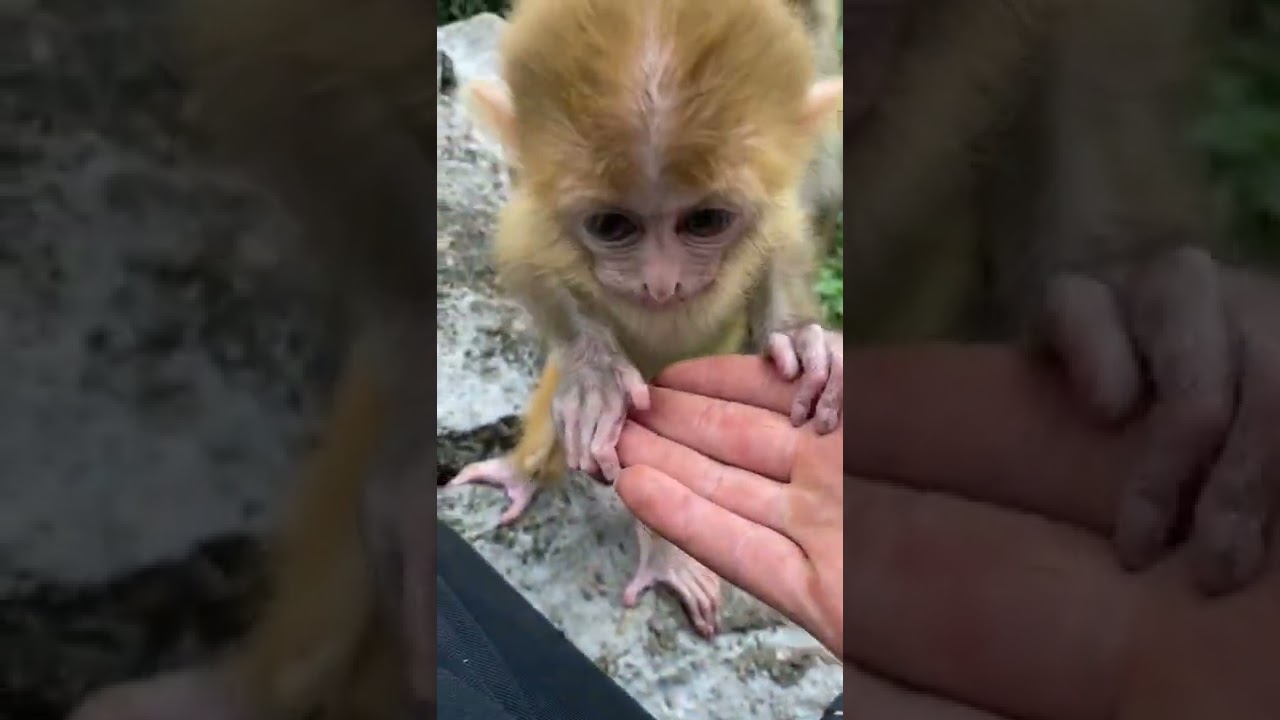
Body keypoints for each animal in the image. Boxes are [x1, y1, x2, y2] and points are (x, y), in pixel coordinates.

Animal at [443, 0, 846, 639]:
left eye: (705, 220)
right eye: (612, 226)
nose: (662, 282)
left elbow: (781, 238)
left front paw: (805, 343)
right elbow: (526, 252)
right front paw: (596, 378)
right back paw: (524, 474)